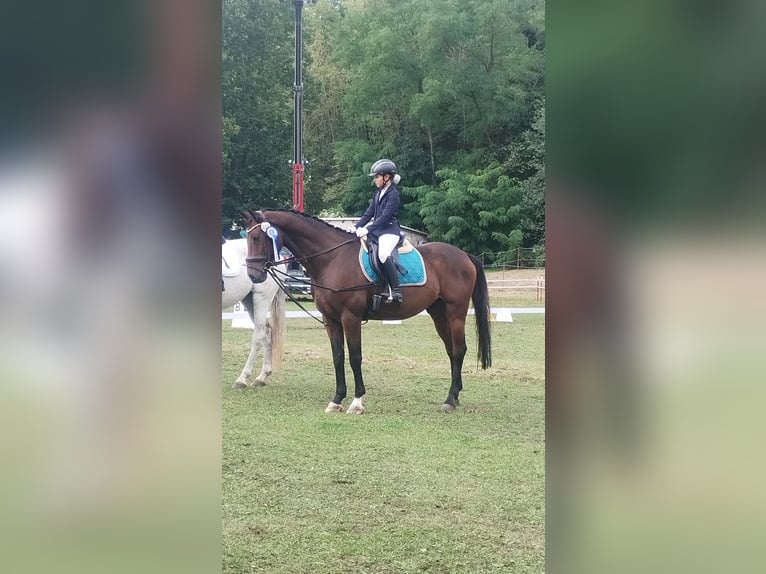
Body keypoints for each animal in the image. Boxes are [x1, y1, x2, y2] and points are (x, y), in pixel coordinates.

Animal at [222, 237, 286, 388]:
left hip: (261, 298)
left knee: (259, 335)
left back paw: (242, 379)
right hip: (249, 300)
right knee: (267, 332)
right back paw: (262, 376)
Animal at [243, 209, 492, 413]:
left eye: (256, 238)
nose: (253, 276)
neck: (332, 259)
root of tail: (464, 255)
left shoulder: (350, 317)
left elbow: (355, 357)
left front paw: (357, 402)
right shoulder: (331, 320)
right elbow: (337, 357)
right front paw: (336, 399)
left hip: (456, 312)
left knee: (459, 349)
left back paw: (450, 399)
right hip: (439, 313)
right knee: (451, 350)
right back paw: (455, 395)